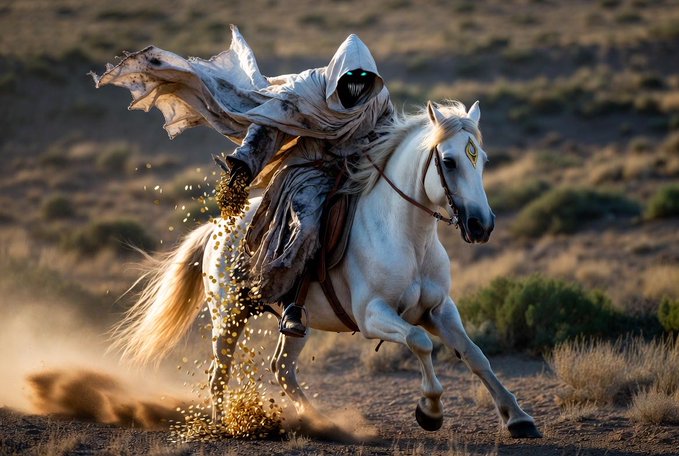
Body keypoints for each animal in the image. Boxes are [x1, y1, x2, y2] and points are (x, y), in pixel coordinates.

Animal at [113, 100, 542, 439]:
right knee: (219, 371)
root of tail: (217, 227)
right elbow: (420, 342)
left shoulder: (439, 309)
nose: (481, 225)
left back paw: (320, 422)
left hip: (296, 322)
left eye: (482, 160)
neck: (408, 237)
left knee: (282, 368)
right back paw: (223, 426)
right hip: (228, 316)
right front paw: (430, 411)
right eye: (449, 162)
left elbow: (475, 354)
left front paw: (518, 417)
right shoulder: (373, 316)